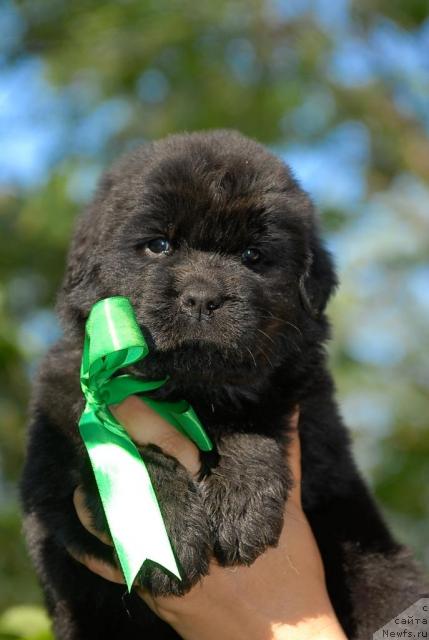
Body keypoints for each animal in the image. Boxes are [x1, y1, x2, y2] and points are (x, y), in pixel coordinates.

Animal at [20, 131, 424, 640]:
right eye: (159, 245)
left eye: (252, 256)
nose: (202, 298)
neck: (189, 393)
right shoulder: (57, 459)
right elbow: (129, 460)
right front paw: (169, 526)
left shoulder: (300, 401)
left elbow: (256, 422)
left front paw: (242, 501)